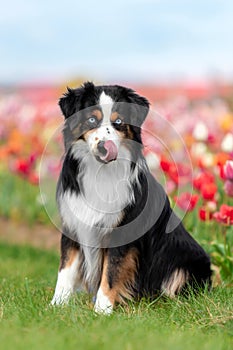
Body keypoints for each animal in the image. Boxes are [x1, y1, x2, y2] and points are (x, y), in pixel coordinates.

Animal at [52, 82, 212, 314]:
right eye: (91, 119)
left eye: (118, 121)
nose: (104, 146)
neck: (101, 173)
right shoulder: (73, 224)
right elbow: (65, 270)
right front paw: (56, 305)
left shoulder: (123, 231)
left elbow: (111, 272)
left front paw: (102, 309)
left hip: (188, 262)